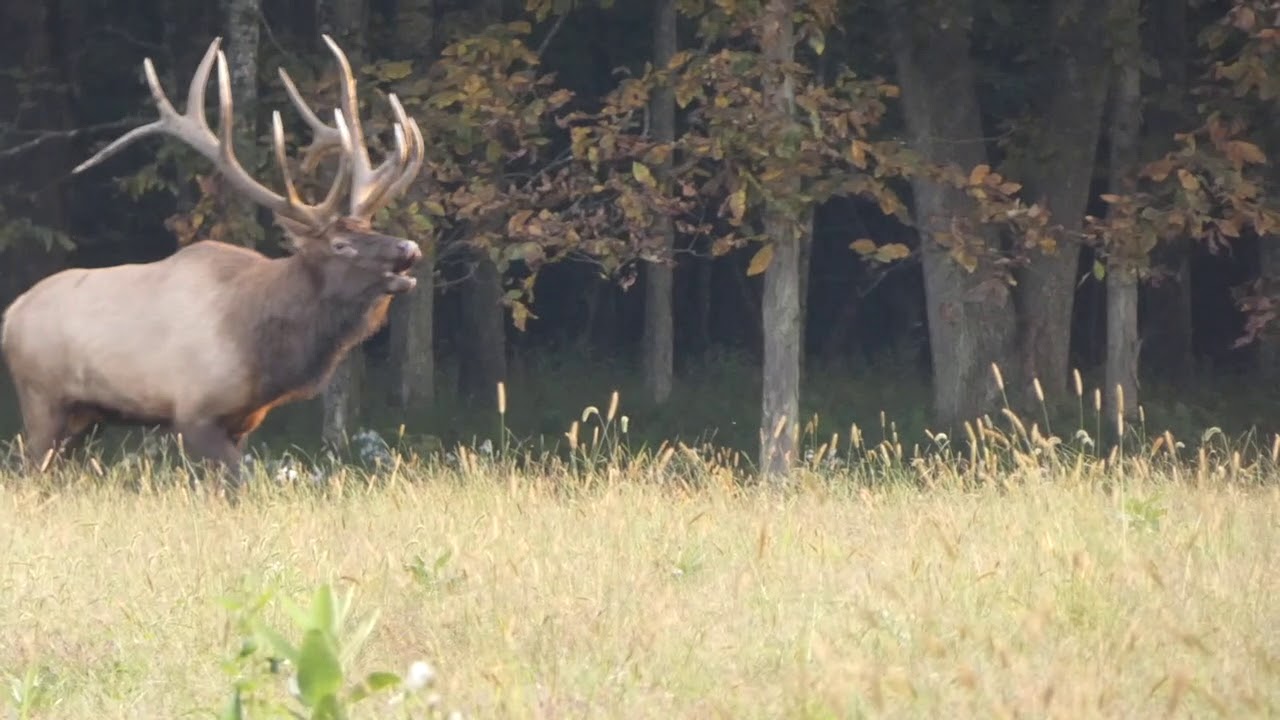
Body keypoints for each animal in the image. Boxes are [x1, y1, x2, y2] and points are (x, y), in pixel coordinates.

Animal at [0, 34, 426, 488]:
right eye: (342, 244)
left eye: (370, 227)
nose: (408, 249)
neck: (262, 347)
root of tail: (11, 315)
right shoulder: (193, 413)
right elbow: (240, 482)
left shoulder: (243, 421)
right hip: (42, 397)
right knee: (26, 467)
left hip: (83, 417)